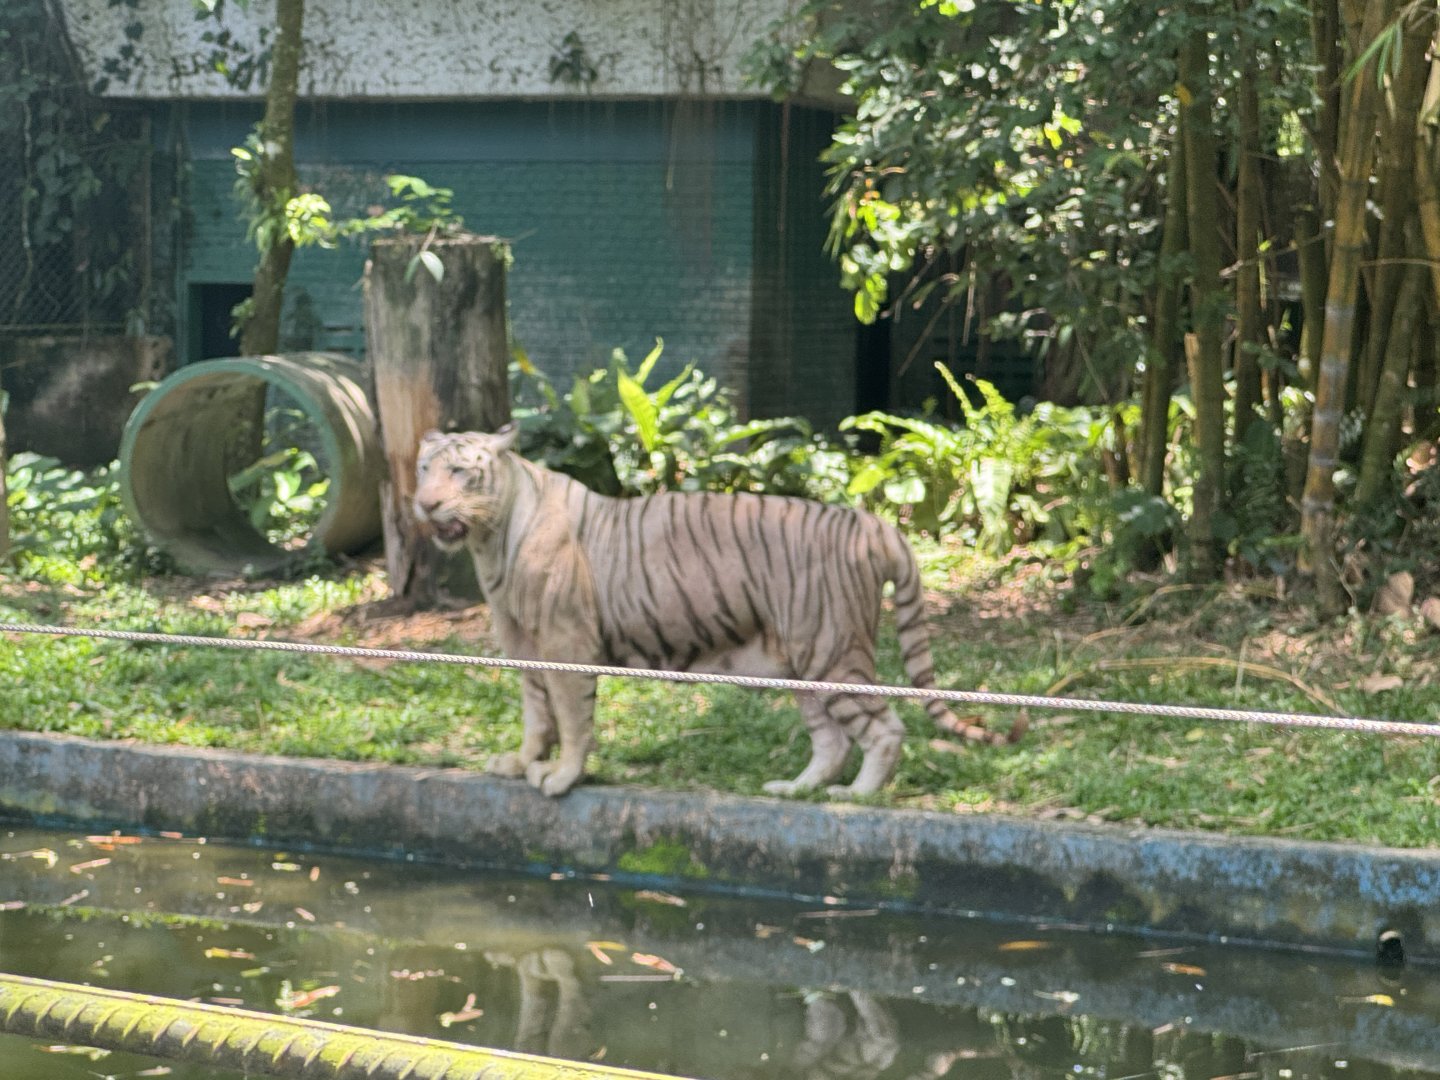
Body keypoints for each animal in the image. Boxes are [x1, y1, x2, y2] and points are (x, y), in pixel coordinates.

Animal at [412, 425, 1025, 798]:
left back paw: (853, 797)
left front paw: (561, 778)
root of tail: (873, 524)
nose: (424, 503)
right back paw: (795, 789)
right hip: (803, 667)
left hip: (832, 652)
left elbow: (571, 715)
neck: (491, 539)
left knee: (885, 729)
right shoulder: (523, 644)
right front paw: (521, 763)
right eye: (423, 468)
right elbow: (537, 712)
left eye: (460, 472)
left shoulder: (566, 643)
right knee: (832, 740)